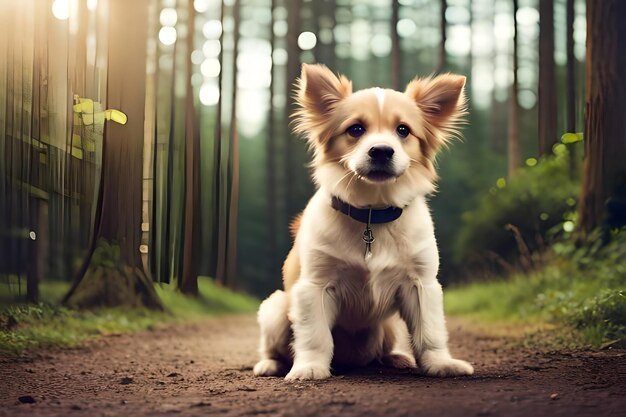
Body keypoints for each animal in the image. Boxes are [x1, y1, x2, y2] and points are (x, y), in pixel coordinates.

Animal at [251, 63, 470, 378]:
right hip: (276, 308)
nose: (381, 151)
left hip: (387, 327)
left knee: (382, 350)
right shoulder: (314, 286)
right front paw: (310, 368)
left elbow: (429, 332)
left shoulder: (422, 285)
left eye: (403, 130)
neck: (371, 214)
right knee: (275, 346)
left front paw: (440, 364)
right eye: (355, 129)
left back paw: (395, 358)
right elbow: (315, 336)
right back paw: (270, 364)